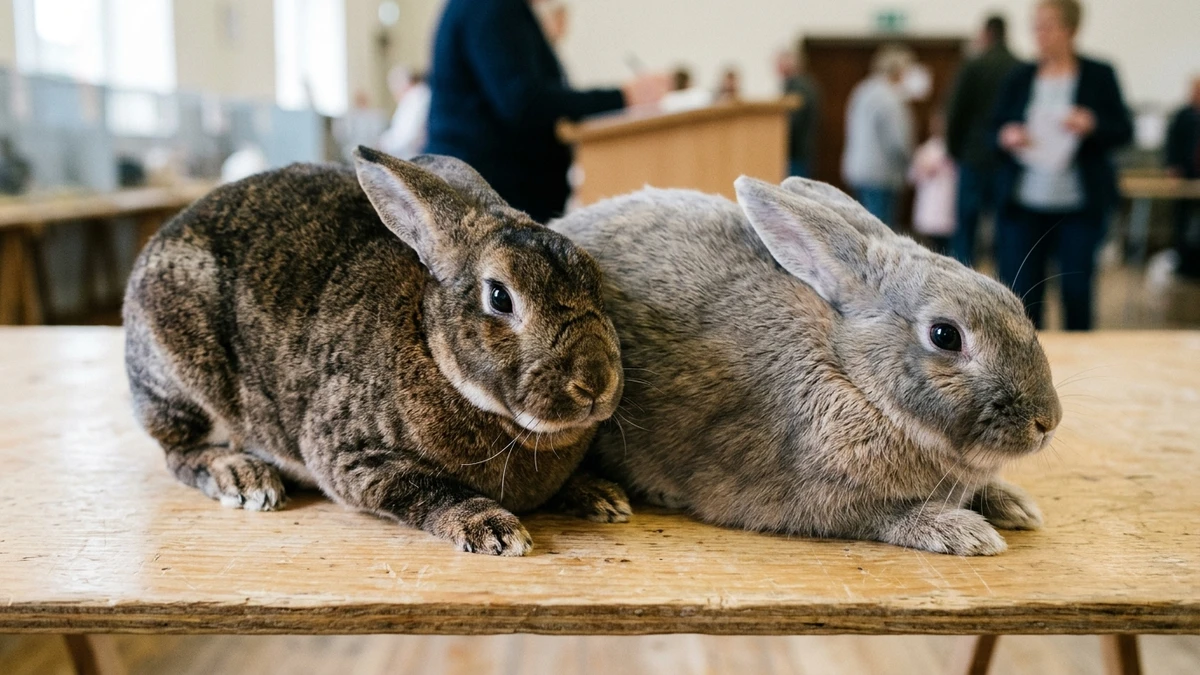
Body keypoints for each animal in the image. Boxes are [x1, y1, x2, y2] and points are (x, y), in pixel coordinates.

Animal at [123, 147, 630, 556]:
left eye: (595, 279)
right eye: (500, 298)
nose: (595, 382)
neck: (432, 349)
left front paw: (603, 496)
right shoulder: (352, 457)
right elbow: (426, 489)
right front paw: (493, 529)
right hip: (180, 377)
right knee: (180, 452)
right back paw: (245, 478)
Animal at [551, 175, 1062, 556]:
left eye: (1011, 301)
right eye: (945, 335)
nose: (1047, 422)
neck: (855, 378)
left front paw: (1016, 506)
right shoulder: (820, 501)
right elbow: (887, 517)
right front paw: (965, 532)